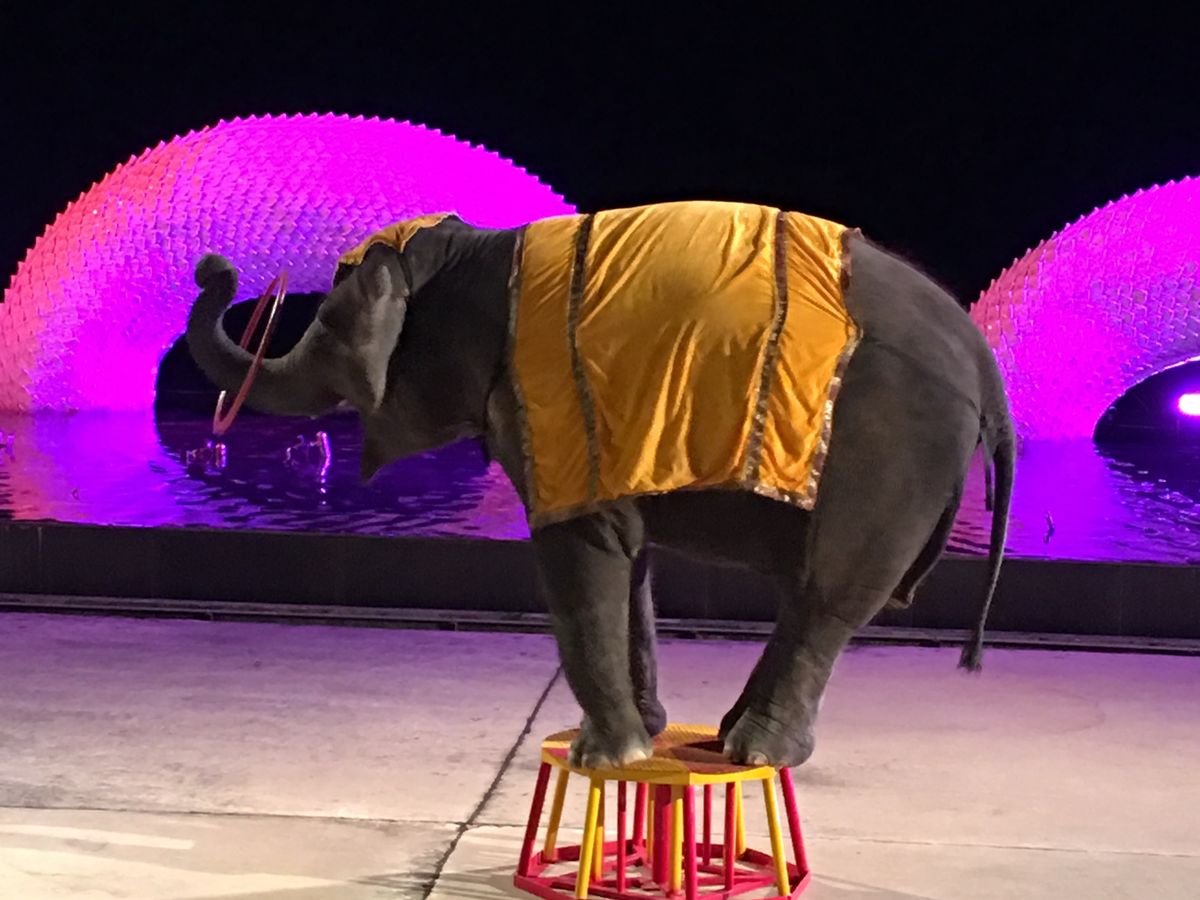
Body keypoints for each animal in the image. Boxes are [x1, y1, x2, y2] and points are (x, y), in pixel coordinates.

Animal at [187, 201, 1014, 769]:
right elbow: (627, 558)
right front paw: (638, 741)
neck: (474, 247)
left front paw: (607, 759)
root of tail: (984, 365)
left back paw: (753, 754)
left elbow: (577, 554)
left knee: (827, 595)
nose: (216, 268)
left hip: (889, 447)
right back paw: (726, 741)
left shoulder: (545, 404)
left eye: (325, 324)